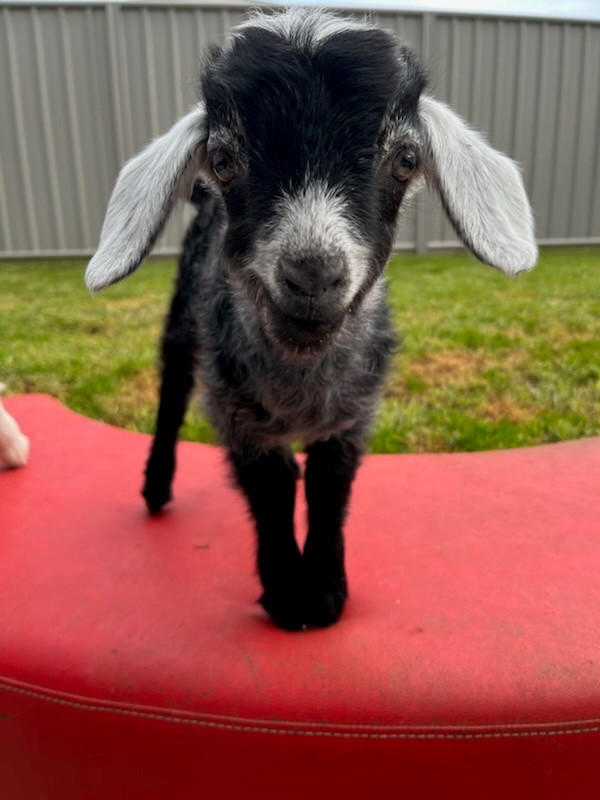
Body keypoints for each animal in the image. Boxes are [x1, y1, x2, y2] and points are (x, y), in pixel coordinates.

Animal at [85, 9, 537, 630]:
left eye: (405, 162)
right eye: (223, 161)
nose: (313, 276)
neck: (300, 377)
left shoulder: (353, 410)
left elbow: (328, 485)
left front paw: (323, 591)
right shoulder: (235, 407)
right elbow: (272, 488)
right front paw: (285, 593)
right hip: (183, 316)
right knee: (172, 385)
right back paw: (155, 486)